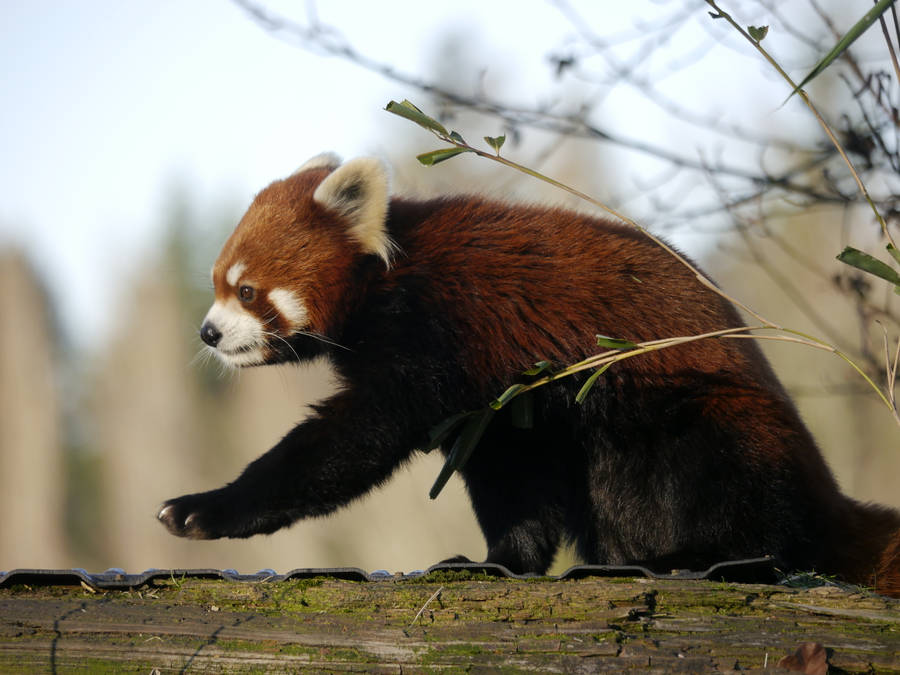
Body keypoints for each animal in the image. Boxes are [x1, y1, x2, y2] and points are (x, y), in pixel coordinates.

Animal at [158, 153, 900, 596]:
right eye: (218, 285)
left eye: (246, 290)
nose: (208, 332)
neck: (387, 282)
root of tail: (823, 488)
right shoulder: (501, 398)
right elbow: (513, 479)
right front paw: (501, 561)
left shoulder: (436, 330)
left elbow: (348, 443)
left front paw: (207, 508)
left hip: (708, 420)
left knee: (738, 489)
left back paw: (701, 556)